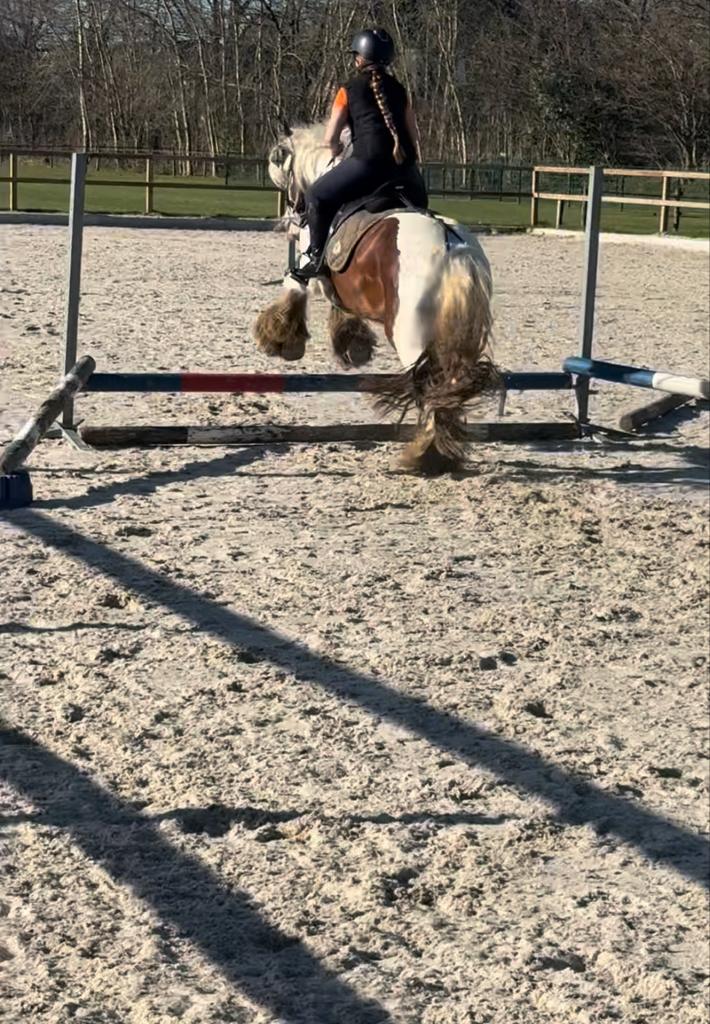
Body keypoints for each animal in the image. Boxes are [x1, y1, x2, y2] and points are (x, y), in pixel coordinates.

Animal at [253, 124, 498, 474]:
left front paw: (280, 338)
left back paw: (425, 453)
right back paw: (438, 452)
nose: (291, 223)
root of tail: (452, 247)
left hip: (411, 339)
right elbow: (339, 305)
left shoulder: (312, 268)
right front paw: (352, 343)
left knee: (432, 389)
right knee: (448, 388)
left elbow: (295, 285)